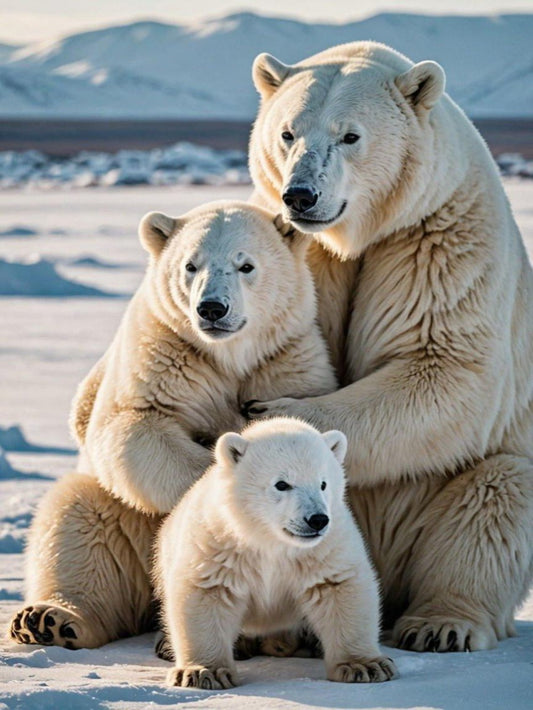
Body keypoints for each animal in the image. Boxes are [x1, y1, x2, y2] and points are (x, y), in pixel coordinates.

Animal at [9, 201, 337, 650]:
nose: (211, 309)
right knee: (77, 526)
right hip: (126, 526)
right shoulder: (161, 350)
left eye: (246, 265)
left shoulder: (286, 362)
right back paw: (50, 619)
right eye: (190, 265)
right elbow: (132, 424)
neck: (225, 357)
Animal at [154, 416, 397, 689]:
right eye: (282, 484)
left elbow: (340, 587)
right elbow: (207, 592)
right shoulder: (218, 544)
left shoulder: (327, 547)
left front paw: (365, 666)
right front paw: (204, 672)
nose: (317, 520)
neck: (270, 541)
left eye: (323, 483)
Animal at [246, 41, 533, 652]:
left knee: (493, 500)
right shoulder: (306, 253)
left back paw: (441, 623)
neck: (362, 233)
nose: (299, 195)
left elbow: (446, 368)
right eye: (287, 132)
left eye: (350, 135)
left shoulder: (438, 238)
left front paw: (274, 414)